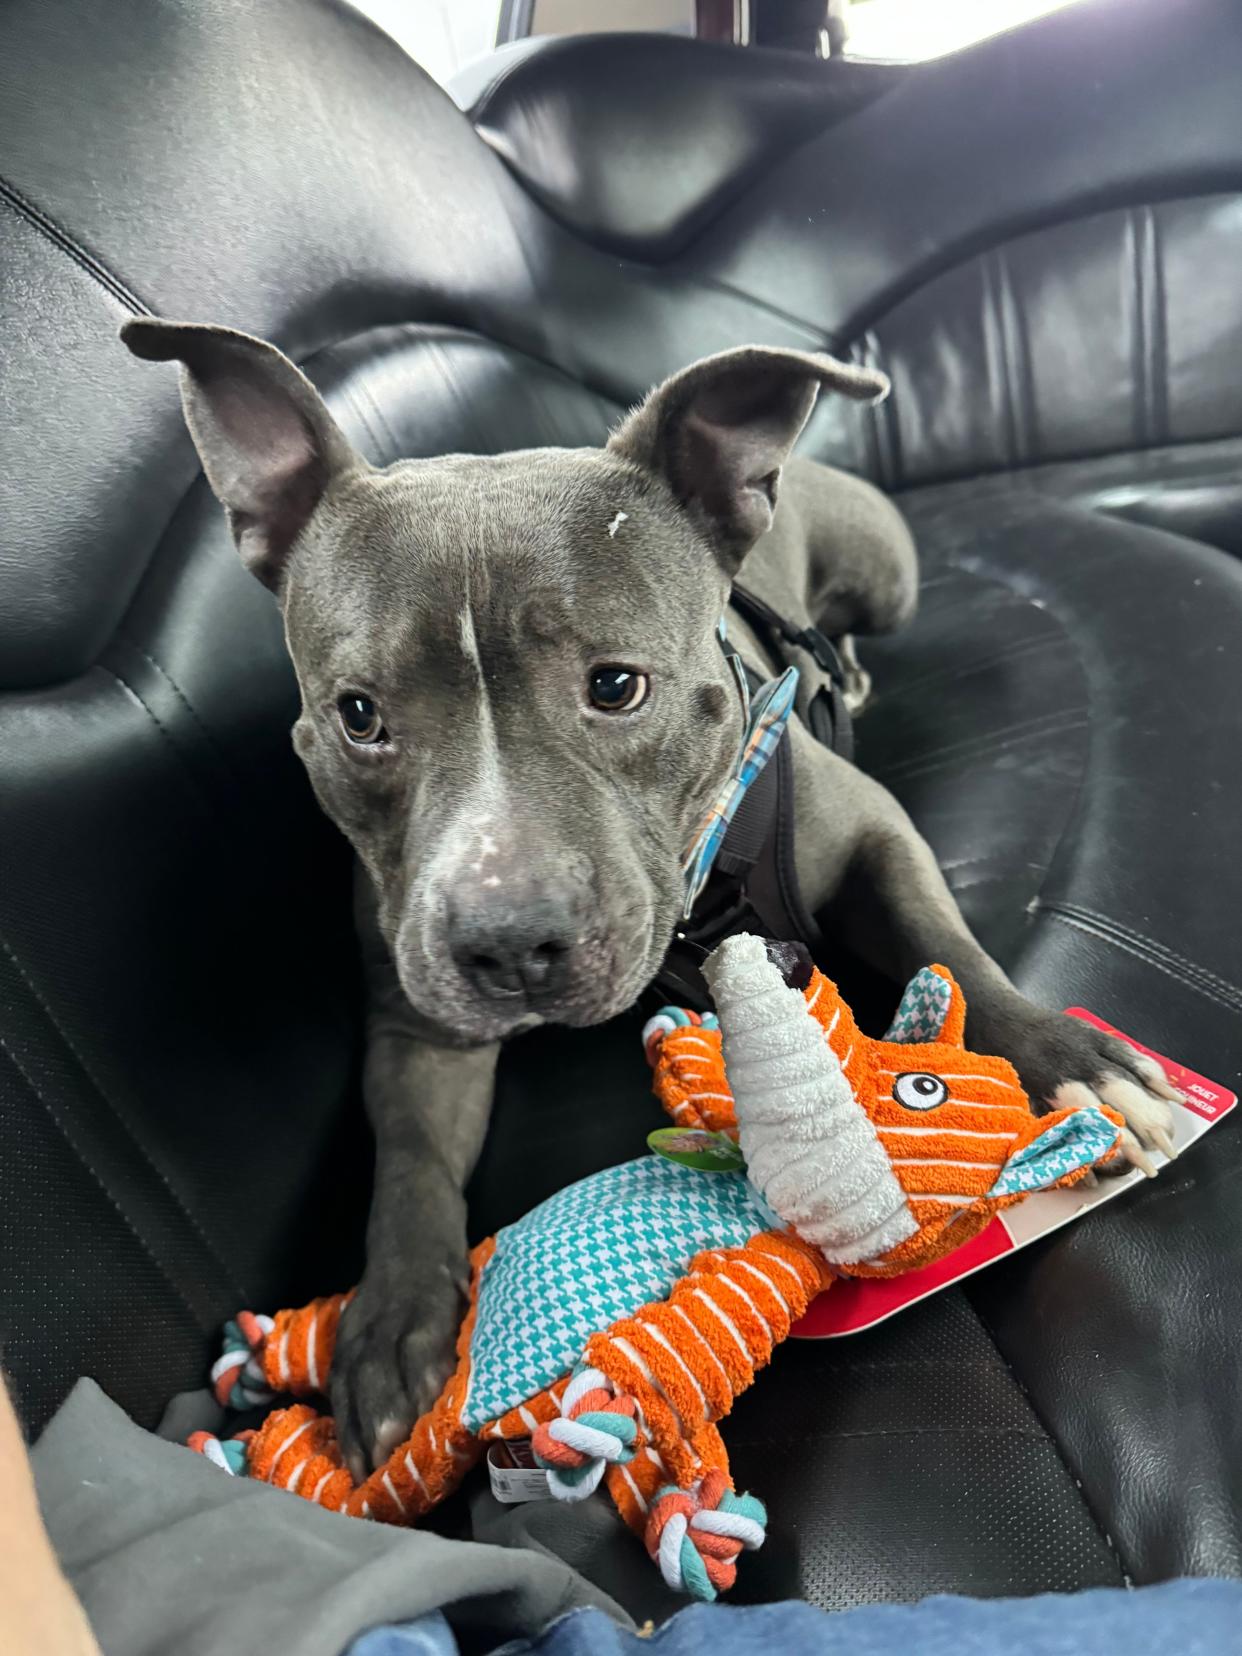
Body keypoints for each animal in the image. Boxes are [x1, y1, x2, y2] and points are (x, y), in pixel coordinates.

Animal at [121, 319, 1179, 1477]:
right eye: (358, 715)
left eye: (617, 685)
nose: (510, 943)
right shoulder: (420, 1022)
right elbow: (410, 1165)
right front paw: (390, 1329)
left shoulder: (876, 832)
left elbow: (953, 953)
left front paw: (1070, 1061)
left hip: (887, 575)